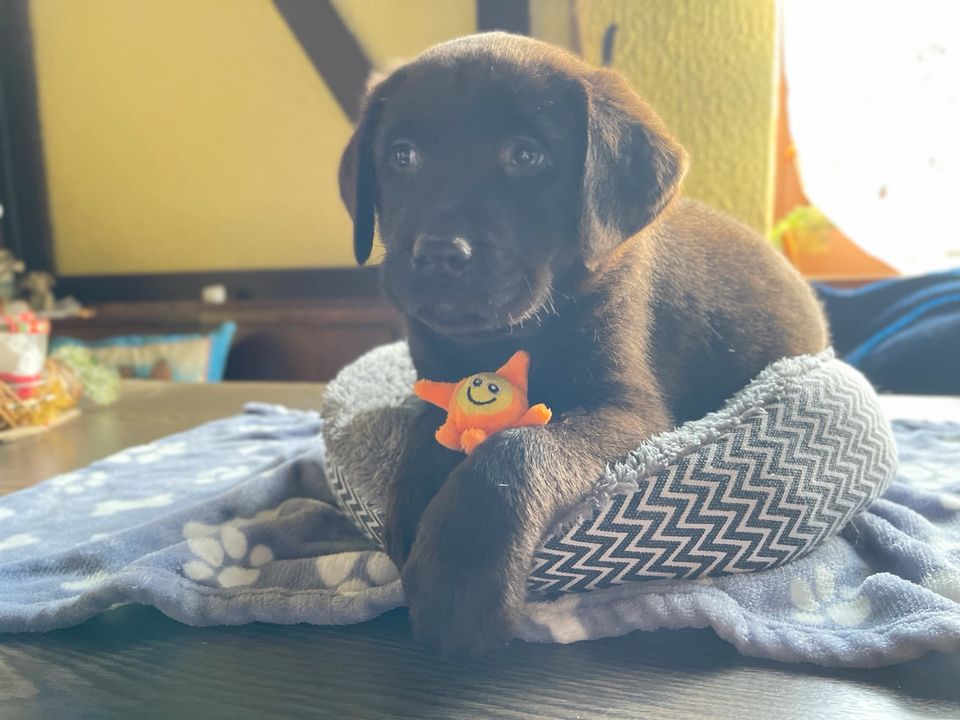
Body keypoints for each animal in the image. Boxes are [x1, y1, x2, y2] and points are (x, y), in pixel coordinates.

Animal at [338, 32, 824, 660]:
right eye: (402, 157)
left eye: (525, 156)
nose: (439, 253)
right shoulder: (433, 383)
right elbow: (426, 433)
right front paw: (414, 503)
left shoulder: (628, 410)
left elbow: (518, 447)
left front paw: (459, 578)